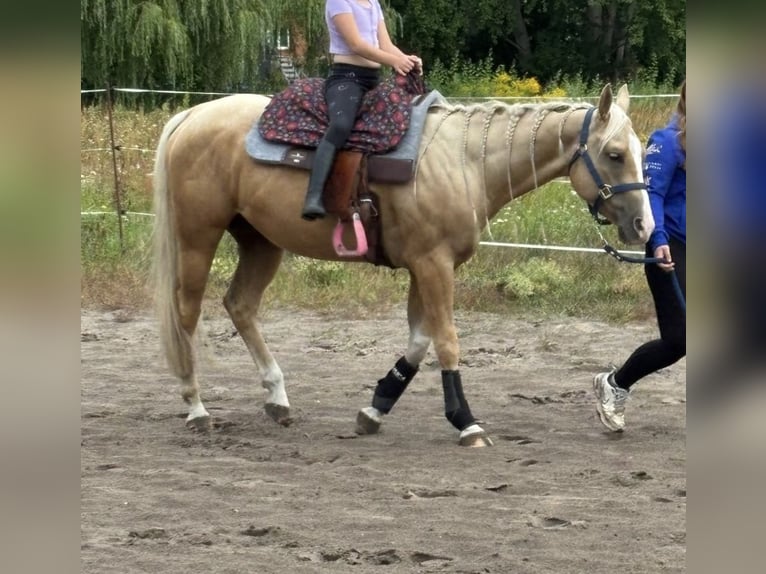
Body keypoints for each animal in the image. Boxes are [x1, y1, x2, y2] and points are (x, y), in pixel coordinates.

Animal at [152, 83, 653, 447]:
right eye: (614, 154)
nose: (645, 225)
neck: (464, 160)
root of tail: (192, 116)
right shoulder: (434, 264)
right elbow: (446, 341)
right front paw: (466, 422)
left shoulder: (424, 265)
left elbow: (418, 342)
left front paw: (375, 407)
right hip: (198, 237)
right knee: (186, 314)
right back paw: (196, 408)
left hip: (261, 242)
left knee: (240, 305)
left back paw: (277, 399)